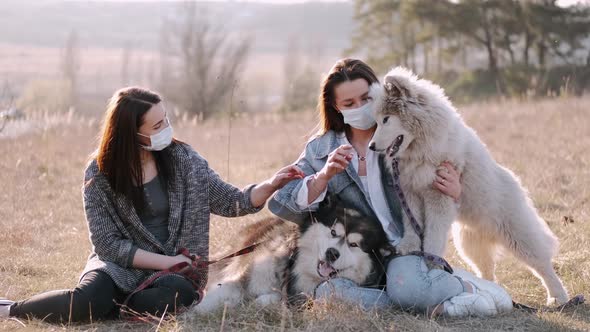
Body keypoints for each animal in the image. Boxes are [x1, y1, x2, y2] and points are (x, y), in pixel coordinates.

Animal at [368, 66, 572, 304]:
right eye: (376, 121)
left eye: (386, 119)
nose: (371, 146)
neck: (421, 149)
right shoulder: (410, 193)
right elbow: (412, 225)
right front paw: (408, 247)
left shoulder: (438, 195)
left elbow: (433, 234)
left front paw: (431, 260)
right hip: (469, 243)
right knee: (486, 270)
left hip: (518, 235)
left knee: (541, 264)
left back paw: (558, 297)